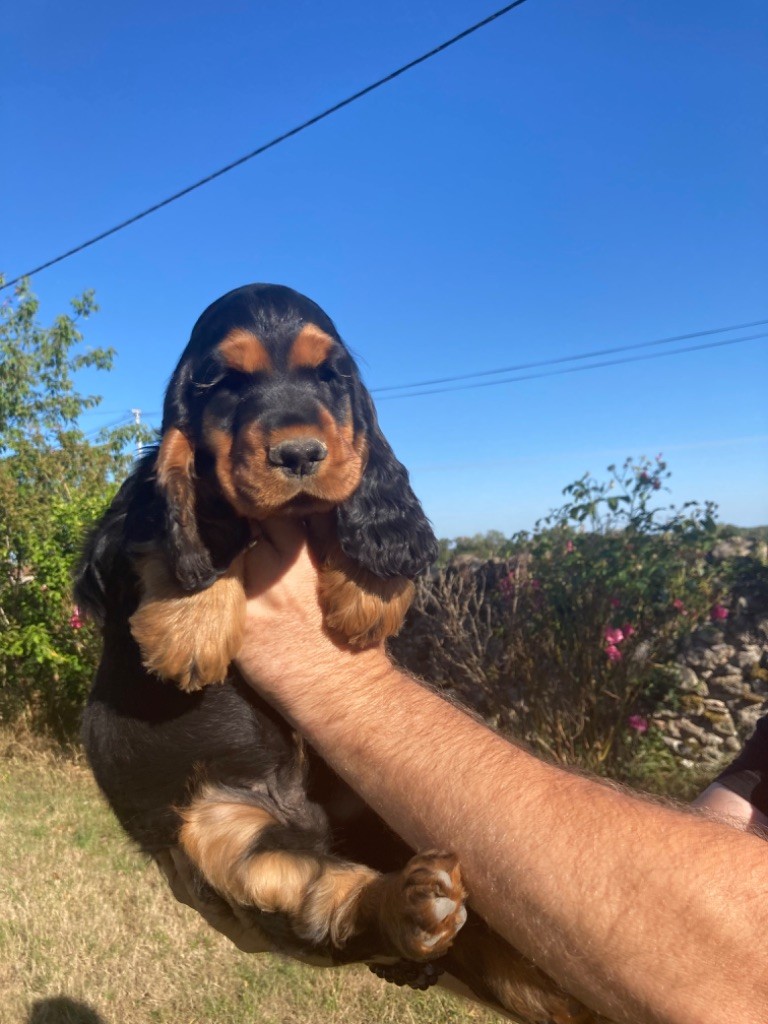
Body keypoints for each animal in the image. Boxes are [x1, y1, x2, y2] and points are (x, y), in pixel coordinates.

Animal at [75, 284, 602, 1024]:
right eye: (221, 381)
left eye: (330, 374)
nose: (299, 454)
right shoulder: (123, 540)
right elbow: (174, 519)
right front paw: (192, 625)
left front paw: (367, 591)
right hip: (220, 832)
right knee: (329, 901)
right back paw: (416, 905)